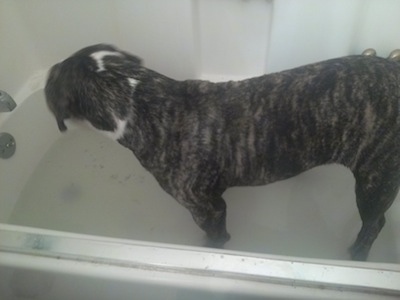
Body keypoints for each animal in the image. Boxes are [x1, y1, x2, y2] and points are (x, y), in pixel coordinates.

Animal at [44, 44, 400, 260]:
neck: (140, 99)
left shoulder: (207, 208)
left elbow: (216, 235)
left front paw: (210, 248)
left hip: (374, 181)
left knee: (374, 222)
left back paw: (357, 253)